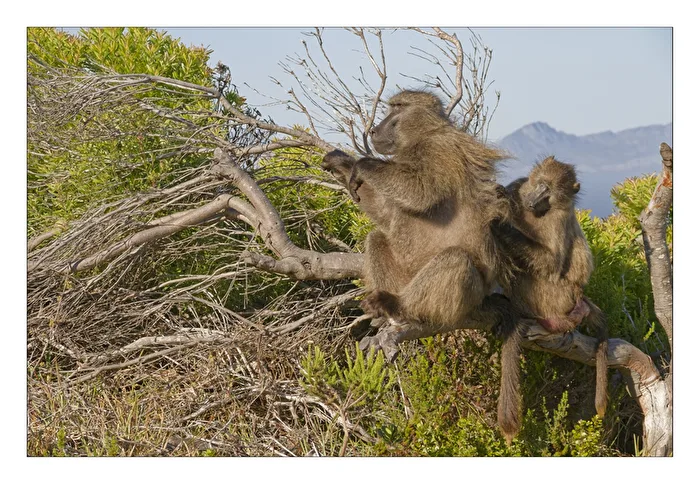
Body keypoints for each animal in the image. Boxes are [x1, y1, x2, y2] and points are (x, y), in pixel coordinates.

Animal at [321, 90, 525, 444]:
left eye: (397, 109)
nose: (374, 130)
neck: (423, 135)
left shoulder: (439, 153)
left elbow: (419, 191)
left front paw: (362, 163)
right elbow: (387, 216)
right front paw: (342, 163)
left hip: (464, 296)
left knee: (455, 259)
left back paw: (400, 309)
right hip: (405, 274)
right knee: (378, 238)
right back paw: (384, 312)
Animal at [491, 156, 609, 417]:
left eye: (548, 192)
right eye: (540, 184)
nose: (531, 201)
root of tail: (578, 297)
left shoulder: (559, 217)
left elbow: (552, 263)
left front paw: (500, 223)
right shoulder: (519, 186)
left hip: (556, 297)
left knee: (523, 276)